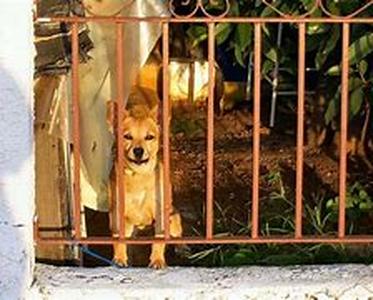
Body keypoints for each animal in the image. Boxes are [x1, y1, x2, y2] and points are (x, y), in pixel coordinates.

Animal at [106, 85, 182, 268]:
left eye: (149, 137)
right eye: (127, 137)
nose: (138, 151)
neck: (138, 177)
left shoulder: (161, 216)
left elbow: (159, 240)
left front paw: (157, 260)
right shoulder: (118, 216)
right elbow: (119, 240)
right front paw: (120, 258)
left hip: (173, 219)